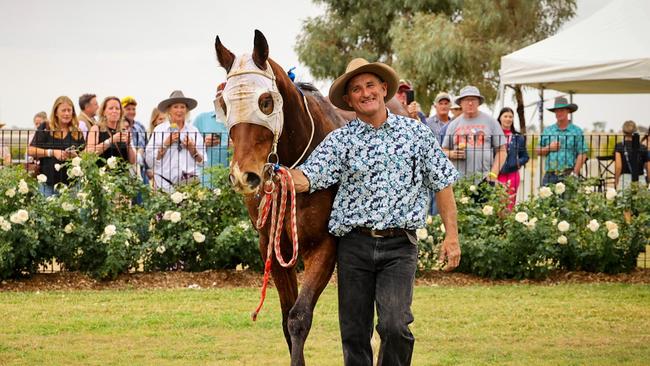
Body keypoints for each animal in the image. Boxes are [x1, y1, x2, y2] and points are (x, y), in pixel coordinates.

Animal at [214, 30, 344, 364]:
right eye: (225, 104)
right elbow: (287, 319)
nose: (243, 175)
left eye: (266, 102)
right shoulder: (271, 245)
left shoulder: (325, 246)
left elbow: (299, 317)